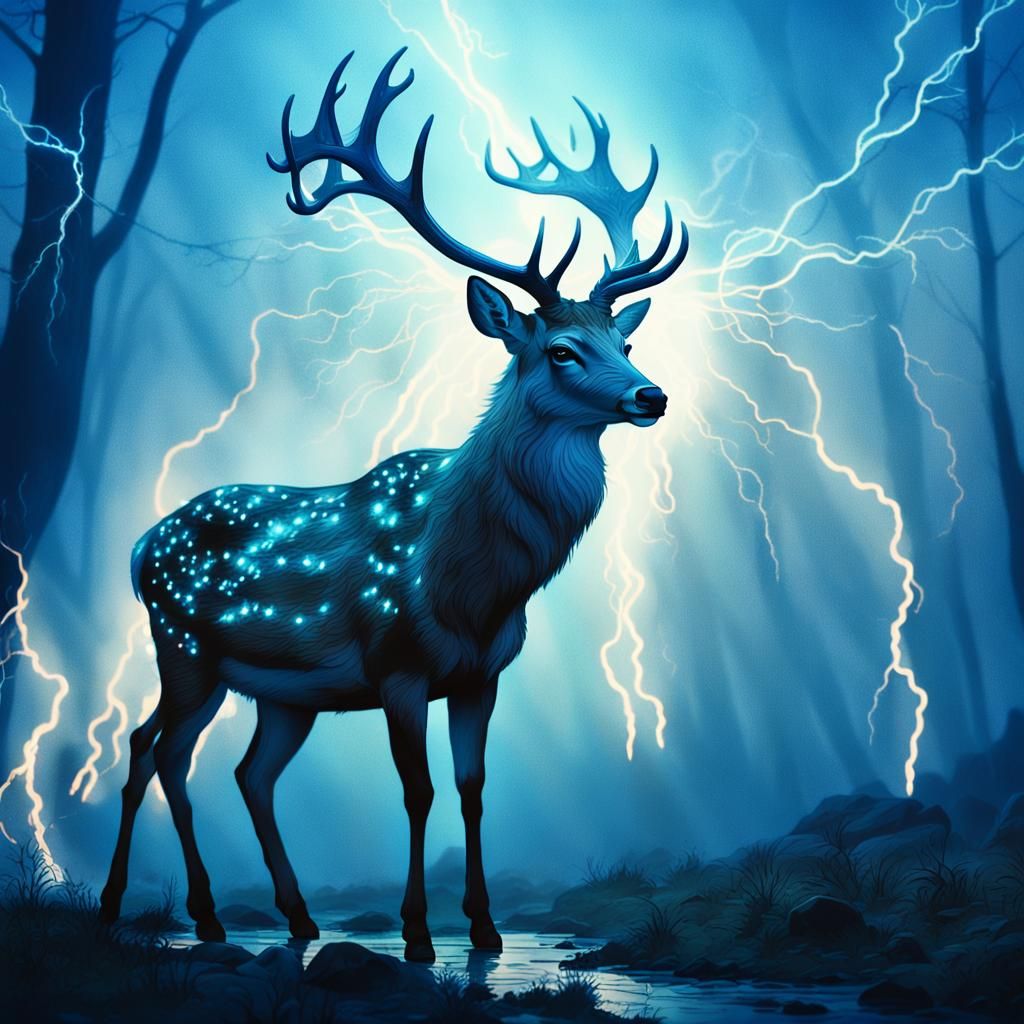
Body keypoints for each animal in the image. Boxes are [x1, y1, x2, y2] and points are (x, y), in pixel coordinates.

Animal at [98, 48, 688, 963]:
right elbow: (417, 793)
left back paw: (293, 915)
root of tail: (135, 549)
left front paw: (483, 927)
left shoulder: (482, 675)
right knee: (153, 750)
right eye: (561, 350)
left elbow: (473, 789)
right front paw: (416, 934)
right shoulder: (398, 665)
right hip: (184, 649)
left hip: (282, 694)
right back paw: (157, 909)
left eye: (625, 340)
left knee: (243, 771)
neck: (472, 585)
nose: (651, 395)